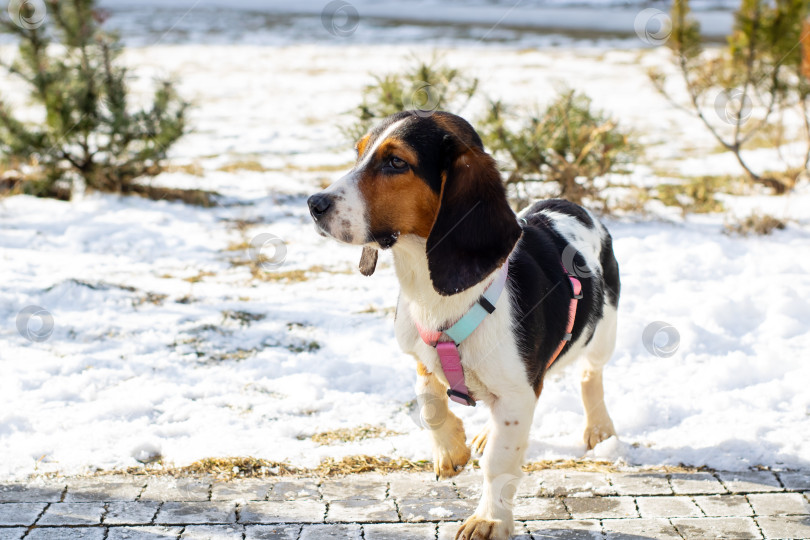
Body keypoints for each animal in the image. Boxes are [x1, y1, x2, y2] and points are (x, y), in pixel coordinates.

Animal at [308, 110, 620, 540]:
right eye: (359, 153)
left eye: (396, 162)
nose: (313, 204)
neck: (431, 291)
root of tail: (569, 204)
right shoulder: (420, 352)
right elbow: (427, 397)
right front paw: (451, 450)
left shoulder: (518, 391)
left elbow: (499, 464)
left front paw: (490, 519)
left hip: (603, 330)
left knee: (592, 374)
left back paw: (599, 427)